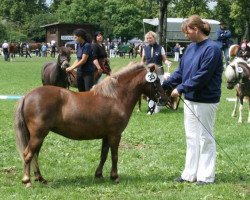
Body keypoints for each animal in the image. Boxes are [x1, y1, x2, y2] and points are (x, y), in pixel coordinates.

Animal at [14, 62, 170, 188]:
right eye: (156, 81)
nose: (164, 99)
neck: (115, 97)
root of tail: (27, 96)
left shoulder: (107, 136)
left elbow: (104, 155)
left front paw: (99, 174)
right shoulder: (115, 135)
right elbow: (114, 155)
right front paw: (115, 177)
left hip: (38, 136)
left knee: (35, 155)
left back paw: (40, 178)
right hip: (38, 135)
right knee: (28, 154)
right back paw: (27, 181)